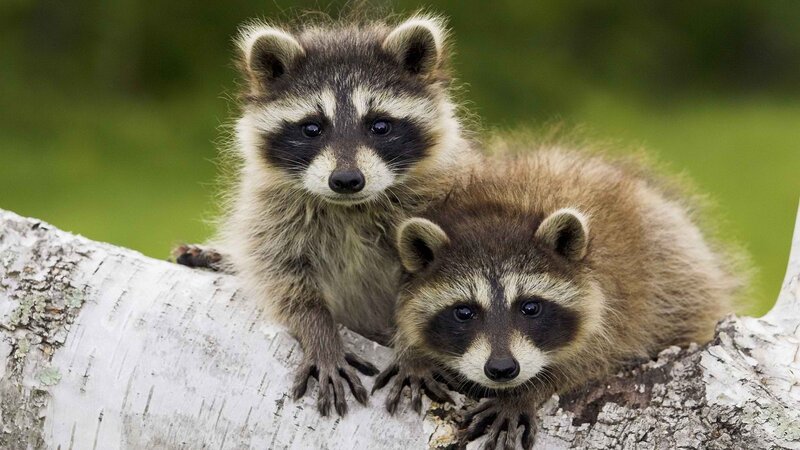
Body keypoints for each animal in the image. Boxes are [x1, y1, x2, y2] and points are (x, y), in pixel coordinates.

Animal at [174, 14, 481, 416]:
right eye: (312, 128)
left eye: (379, 126)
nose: (347, 180)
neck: (349, 208)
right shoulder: (271, 212)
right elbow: (282, 277)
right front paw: (319, 332)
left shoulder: (444, 200)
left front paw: (414, 352)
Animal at [375, 148, 742, 448]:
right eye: (464, 312)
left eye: (530, 307)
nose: (502, 369)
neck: (501, 210)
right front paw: (413, 352)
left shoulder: (619, 305)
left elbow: (592, 358)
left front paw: (527, 391)